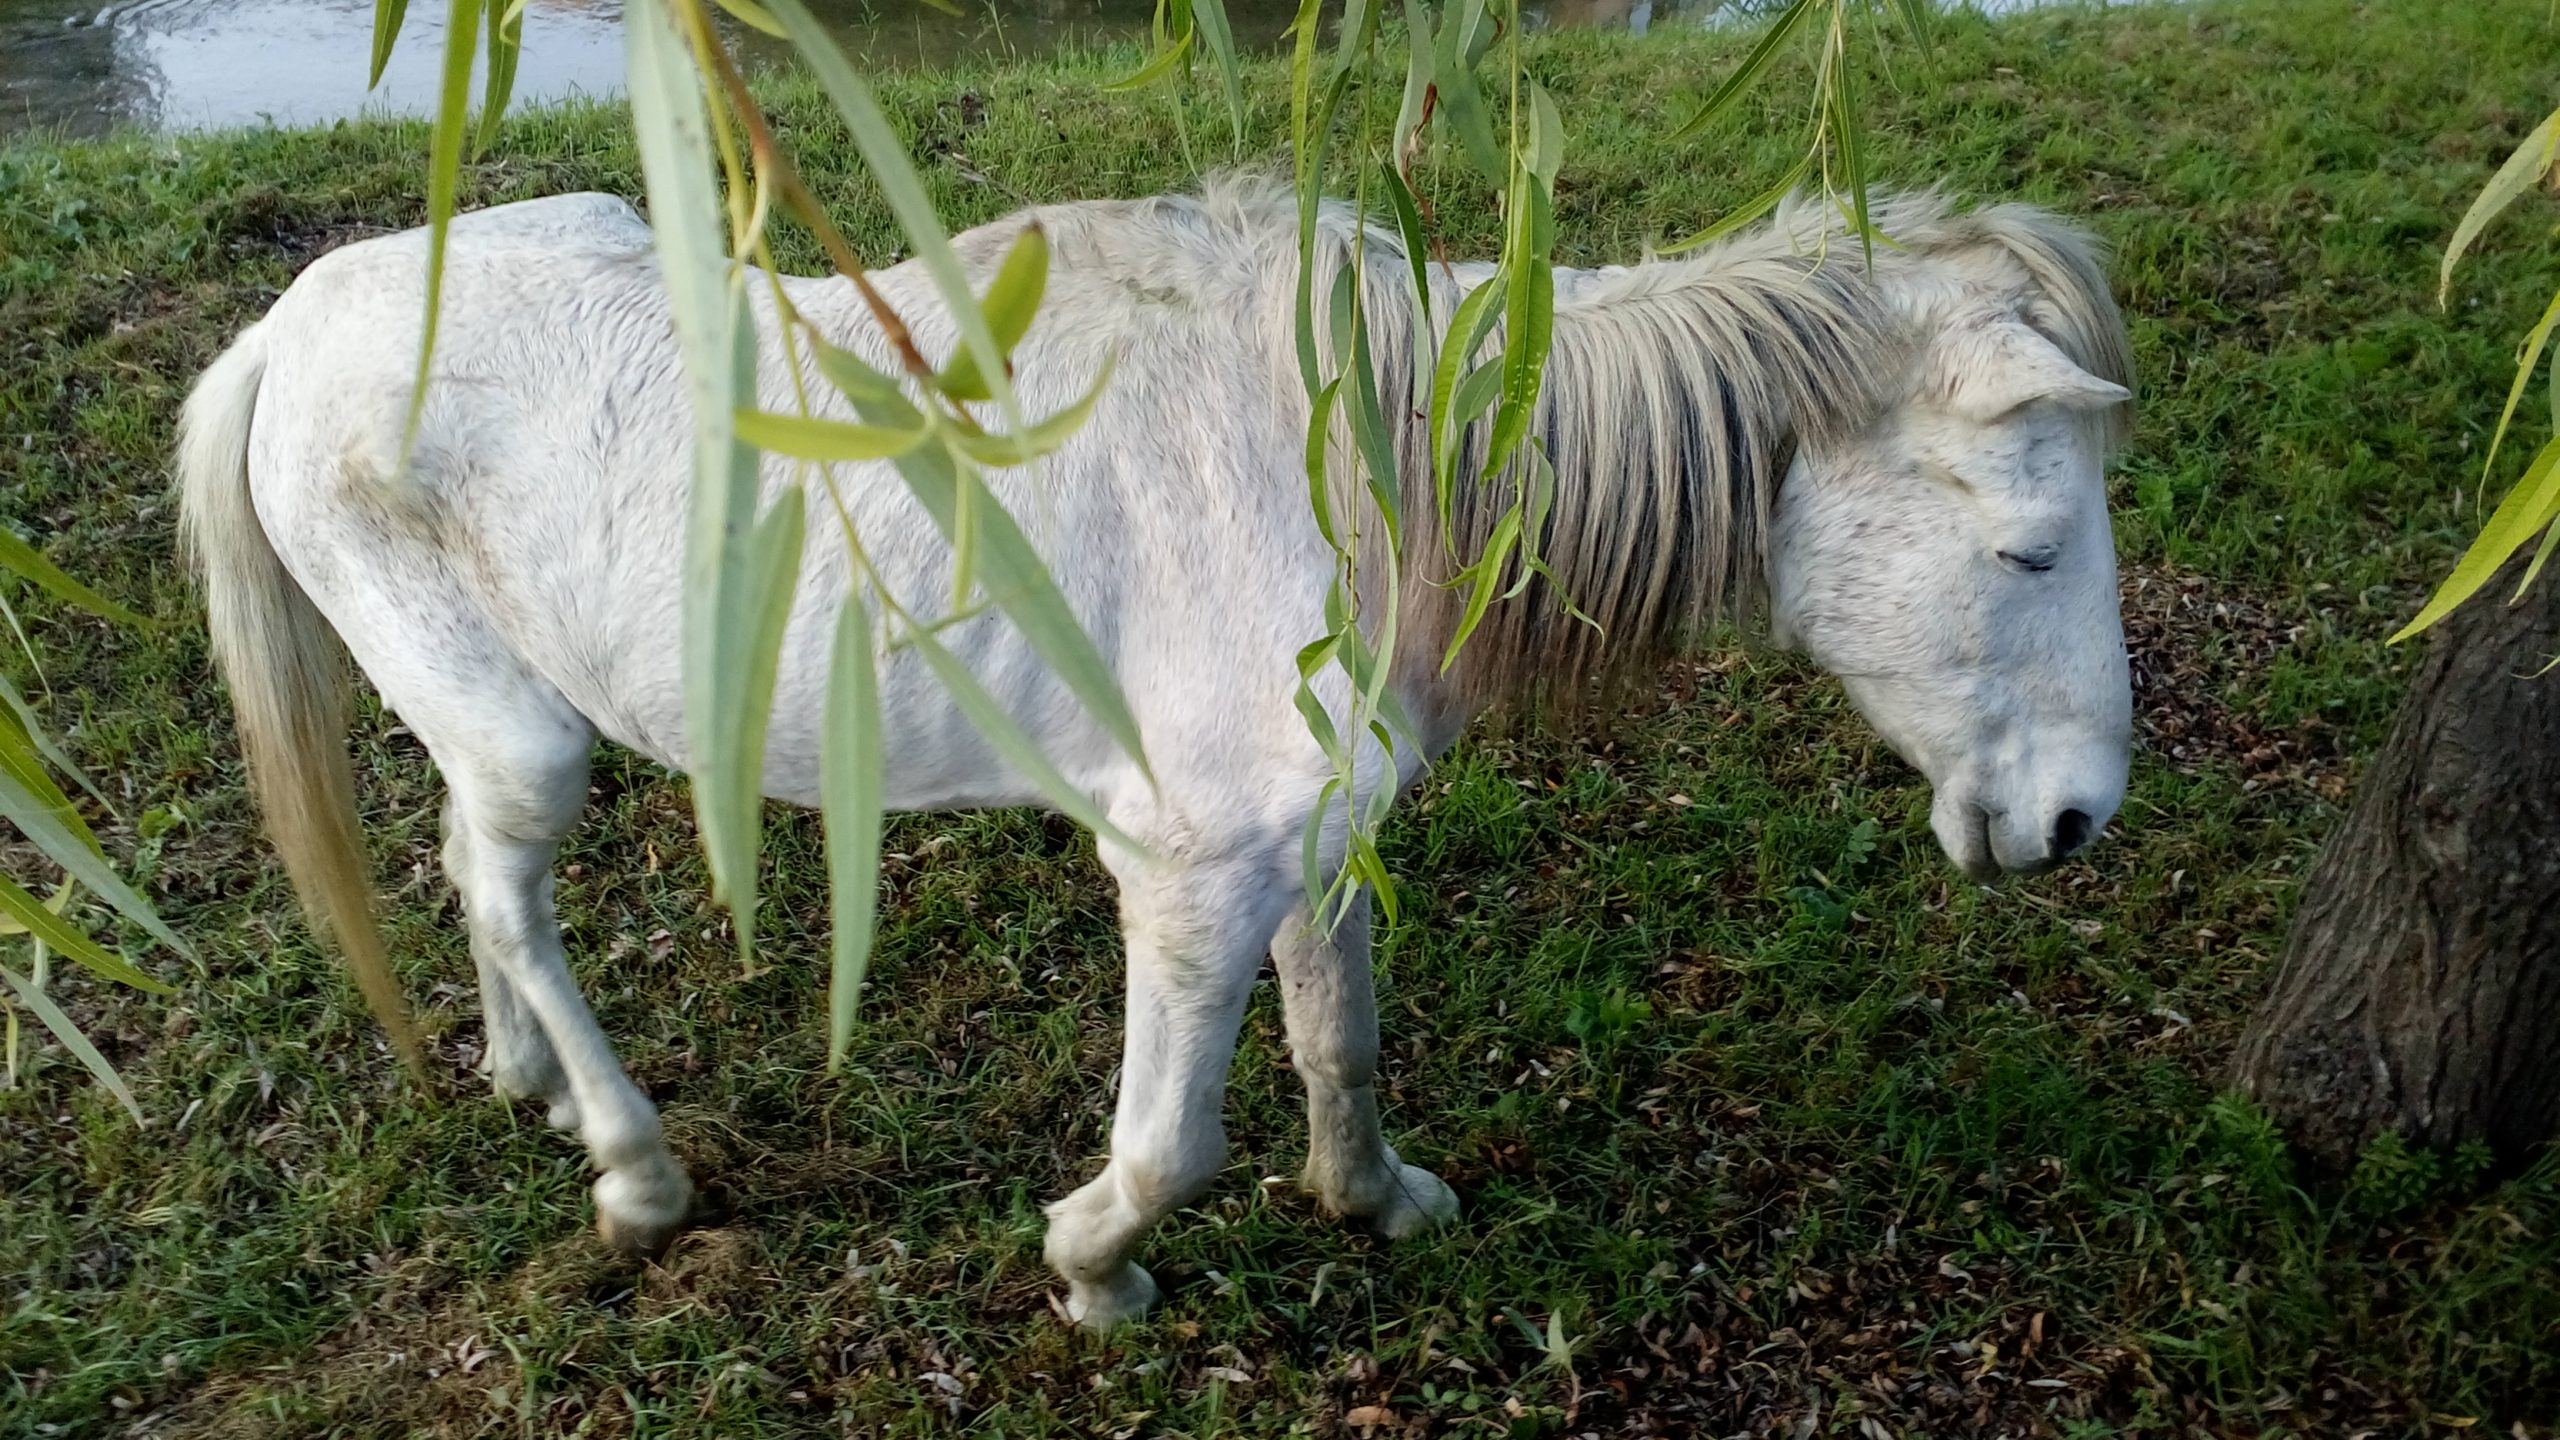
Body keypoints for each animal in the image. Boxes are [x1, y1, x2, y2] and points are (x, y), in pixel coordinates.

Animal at [180, 176, 2129, 1322]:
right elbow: (1175, 1143)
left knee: (470, 876)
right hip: (523, 737)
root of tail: (286, 329)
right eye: (2033, 549)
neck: (1364, 459)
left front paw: (1377, 1202)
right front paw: (1088, 1271)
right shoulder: (1189, 877)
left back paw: (523, 1082)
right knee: (513, 897)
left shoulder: (1316, 848)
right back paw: (636, 1170)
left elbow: (1342, 1043)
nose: (2076, 823)